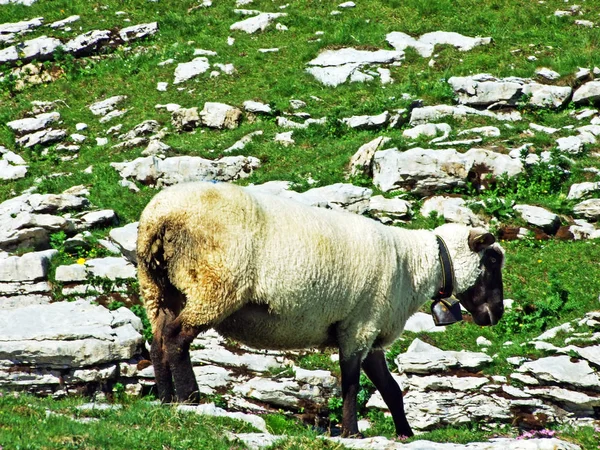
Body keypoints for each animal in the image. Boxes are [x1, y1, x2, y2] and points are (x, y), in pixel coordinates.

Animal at [137, 181, 506, 438]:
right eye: (492, 260)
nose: (497, 314)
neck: (415, 265)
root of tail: (159, 218)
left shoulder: (371, 332)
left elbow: (391, 390)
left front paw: (405, 433)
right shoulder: (359, 326)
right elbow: (351, 383)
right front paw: (352, 432)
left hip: (159, 288)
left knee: (158, 340)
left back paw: (166, 399)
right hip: (213, 285)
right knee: (177, 338)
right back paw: (190, 398)